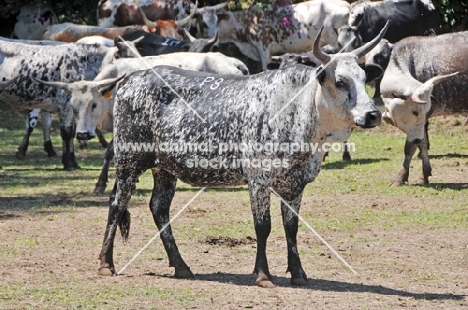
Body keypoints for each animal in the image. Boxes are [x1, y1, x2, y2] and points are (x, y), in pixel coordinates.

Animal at [98, 25, 388, 286]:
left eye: (364, 80)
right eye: (340, 82)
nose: (373, 114)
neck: (298, 111)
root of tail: (131, 79)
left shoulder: (295, 183)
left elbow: (291, 227)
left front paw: (298, 273)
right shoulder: (258, 179)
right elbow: (263, 226)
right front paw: (263, 275)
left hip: (165, 169)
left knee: (158, 208)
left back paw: (181, 266)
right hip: (128, 161)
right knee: (117, 204)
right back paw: (106, 264)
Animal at [378, 31, 466, 186]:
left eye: (420, 112)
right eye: (415, 112)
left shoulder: (421, 125)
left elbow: (411, 147)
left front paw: (401, 177)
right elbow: (423, 145)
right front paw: (424, 174)